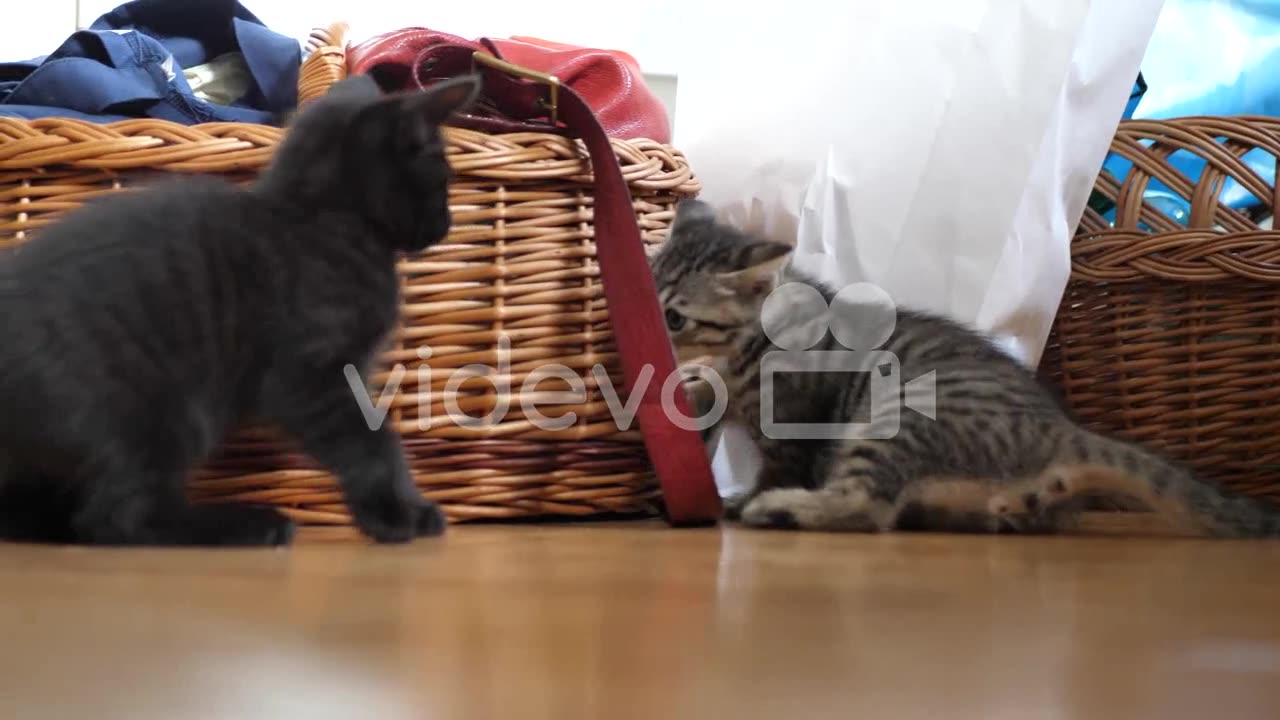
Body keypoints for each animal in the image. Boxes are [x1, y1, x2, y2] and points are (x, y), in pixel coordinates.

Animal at [655, 198, 1280, 535]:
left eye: (675, 316)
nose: (653, 328)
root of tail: (1055, 426)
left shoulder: (793, 428)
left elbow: (778, 464)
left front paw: (742, 497)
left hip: (899, 417)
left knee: (868, 506)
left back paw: (780, 509)